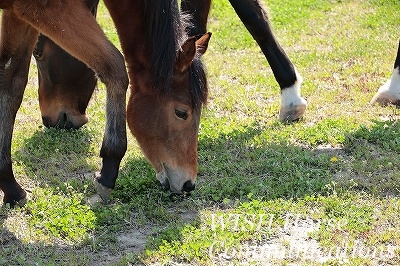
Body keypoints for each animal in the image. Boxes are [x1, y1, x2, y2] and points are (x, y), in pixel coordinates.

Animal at [0, 0, 209, 206]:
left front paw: (11, 187)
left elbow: (11, 84)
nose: (189, 184)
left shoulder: (18, 13)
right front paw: (108, 171)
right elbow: (115, 68)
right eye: (181, 113)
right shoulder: (47, 9)